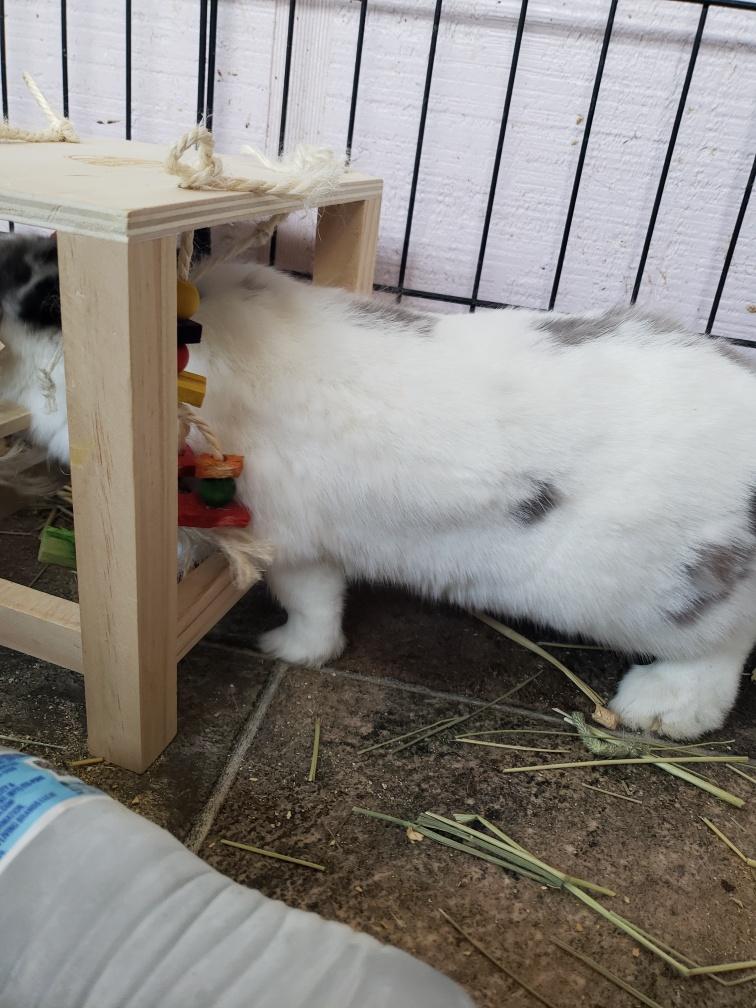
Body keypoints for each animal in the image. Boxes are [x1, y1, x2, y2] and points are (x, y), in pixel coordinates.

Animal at [2, 232, 755, 740]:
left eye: (49, 297)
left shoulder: (288, 542)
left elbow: (309, 606)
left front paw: (286, 651)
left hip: (662, 594)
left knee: (721, 651)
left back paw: (657, 707)